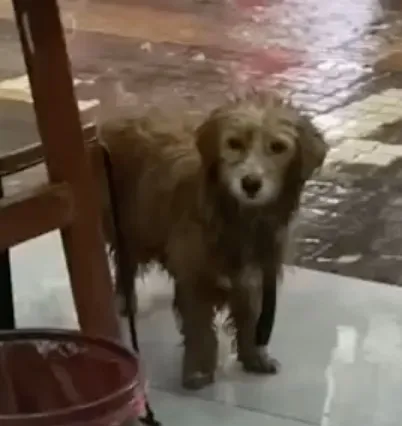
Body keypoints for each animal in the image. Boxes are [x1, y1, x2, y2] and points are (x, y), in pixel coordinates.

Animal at [99, 90, 328, 390]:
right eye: (234, 144)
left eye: (278, 147)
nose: (250, 183)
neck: (240, 219)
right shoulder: (195, 278)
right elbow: (199, 329)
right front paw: (198, 370)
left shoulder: (255, 275)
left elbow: (250, 319)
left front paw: (254, 357)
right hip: (132, 224)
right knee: (125, 261)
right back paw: (125, 299)